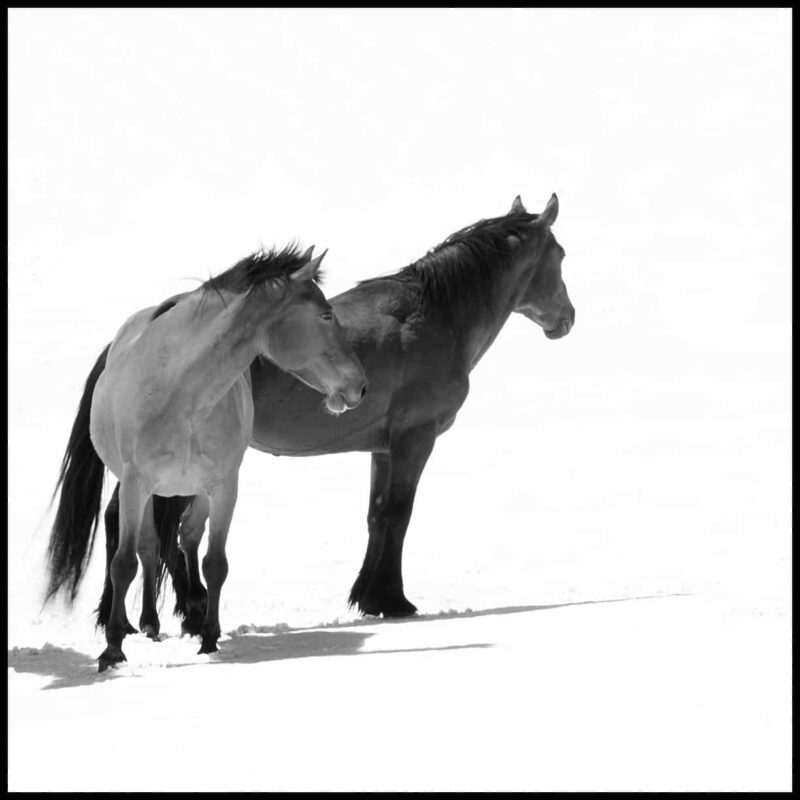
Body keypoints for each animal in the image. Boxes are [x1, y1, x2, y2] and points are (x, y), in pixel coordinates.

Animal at [44, 244, 368, 671]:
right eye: (327, 314)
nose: (360, 387)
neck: (181, 394)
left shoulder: (223, 487)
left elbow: (215, 562)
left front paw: (210, 638)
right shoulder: (135, 484)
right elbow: (124, 562)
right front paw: (112, 649)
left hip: (191, 492)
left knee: (185, 537)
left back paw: (186, 618)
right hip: (147, 492)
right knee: (147, 546)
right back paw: (147, 623)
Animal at [103, 192, 574, 626]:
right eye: (561, 254)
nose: (566, 318)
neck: (434, 317)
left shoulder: (383, 449)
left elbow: (377, 515)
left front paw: (368, 595)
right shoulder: (415, 439)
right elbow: (399, 514)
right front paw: (393, 599)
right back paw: (183, 609)